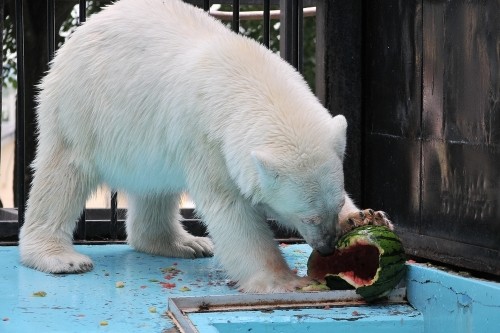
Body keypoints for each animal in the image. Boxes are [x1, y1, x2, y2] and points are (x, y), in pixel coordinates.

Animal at [18, 0, 390, 290]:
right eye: (307, 217)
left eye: (337, 203)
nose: (327, 248)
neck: (247, 76)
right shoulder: (208, 138)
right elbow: (229, 207)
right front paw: (283, 280)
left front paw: (364, 216)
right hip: (82, 109)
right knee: (63, 175)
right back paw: (60, 257)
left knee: (155, 188)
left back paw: (184, 243)